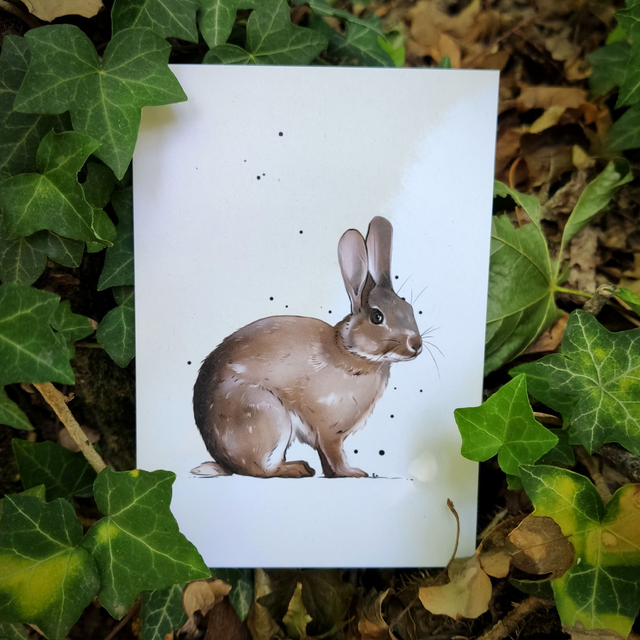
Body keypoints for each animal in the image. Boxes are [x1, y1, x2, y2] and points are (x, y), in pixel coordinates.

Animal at [191, 216, 422, 478]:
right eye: (377, 317)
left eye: (408, 308)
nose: (416, 344)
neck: (351, 351)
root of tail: (224, 462)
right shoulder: (329, 429)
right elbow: (334, 453)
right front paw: (352, 473)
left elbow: (326, 458)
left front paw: (334, 474)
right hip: (267, 415)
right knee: (262, 469)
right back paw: (299, 468)